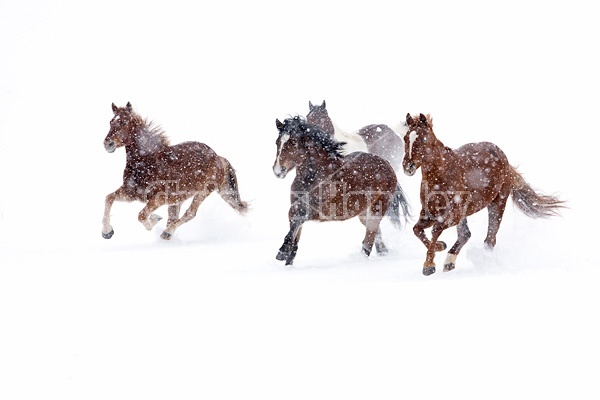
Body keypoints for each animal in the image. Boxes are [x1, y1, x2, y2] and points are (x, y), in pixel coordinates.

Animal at [102, 103, 247, 241]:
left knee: (189, 213)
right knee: (174, 216)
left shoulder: (160, 197)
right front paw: (107, 232)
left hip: (203, 192)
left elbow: (142, 215)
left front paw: (154, 219)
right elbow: (109, 198)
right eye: (110, 122)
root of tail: (219, 158)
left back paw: (167, 232)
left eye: (124, 122)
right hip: (179, 198)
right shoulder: (131, 192)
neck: (146, 162)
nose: (108, 144)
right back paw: (167, 234)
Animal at [270, 115, 408, 266]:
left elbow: (298, 218)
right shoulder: (297, 206)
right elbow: (295, 233)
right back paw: (382, 253)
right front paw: (287, 262)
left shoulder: (323, 210)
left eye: (294, 142)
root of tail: (387, 164)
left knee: (369, 239)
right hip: (363, 213)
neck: (314, 176)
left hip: (376, 209)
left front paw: (281, 252)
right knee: (376, 234)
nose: (278, 171)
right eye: (277, 142)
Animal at [400, 112, 564, 276]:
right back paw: (449, 262)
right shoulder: (430, 214)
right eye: (406, 138)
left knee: (489, 239)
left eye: (422, 139)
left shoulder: (453, 215)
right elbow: (417, 230)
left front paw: (428, 265)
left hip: (497, 203)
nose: (408, 166)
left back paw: (485, 264)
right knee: (466, 235)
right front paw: (440, 246)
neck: (440, 177)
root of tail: (505, 160)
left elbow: (435, 230)